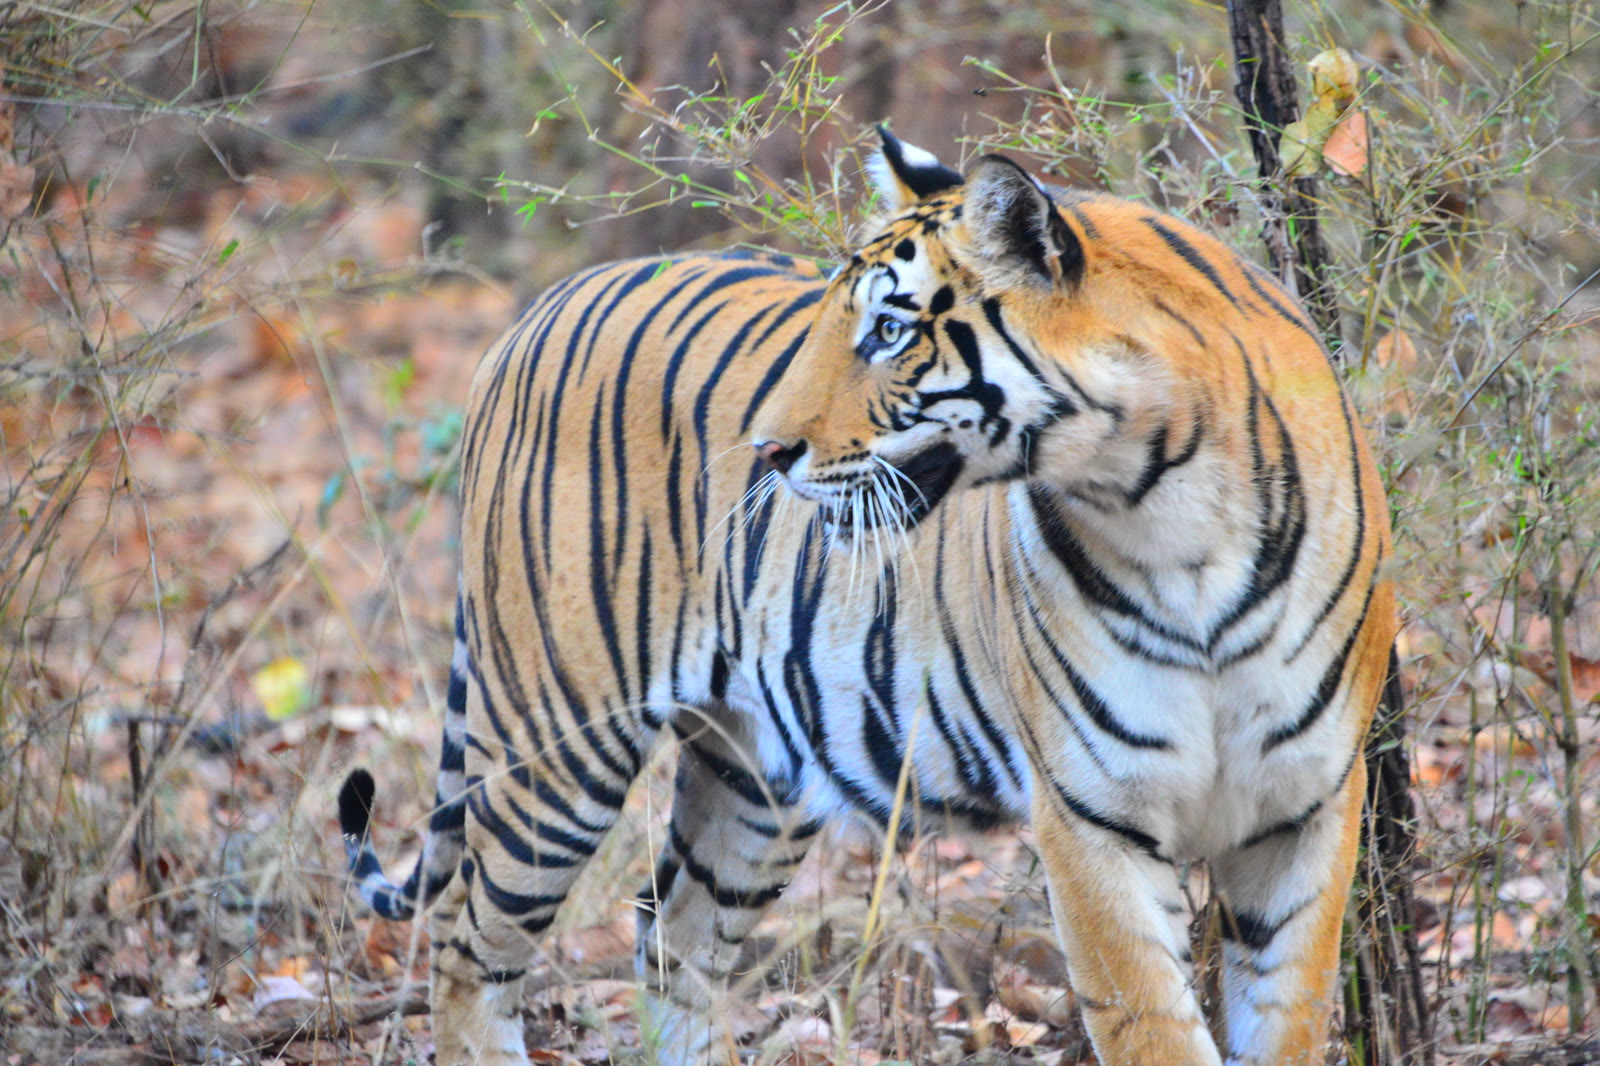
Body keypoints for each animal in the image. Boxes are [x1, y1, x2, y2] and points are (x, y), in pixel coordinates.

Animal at [338, 126, 1396, 1066]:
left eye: (889, 332)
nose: (767, 451)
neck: (1171, 515)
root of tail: (535, 310)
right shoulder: (1094, 823)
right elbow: (1156, 1029)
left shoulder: (1305, 809)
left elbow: (1288, 1019)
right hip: (554, 747)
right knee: (467, 953)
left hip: (752, 778)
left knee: (671, 939)